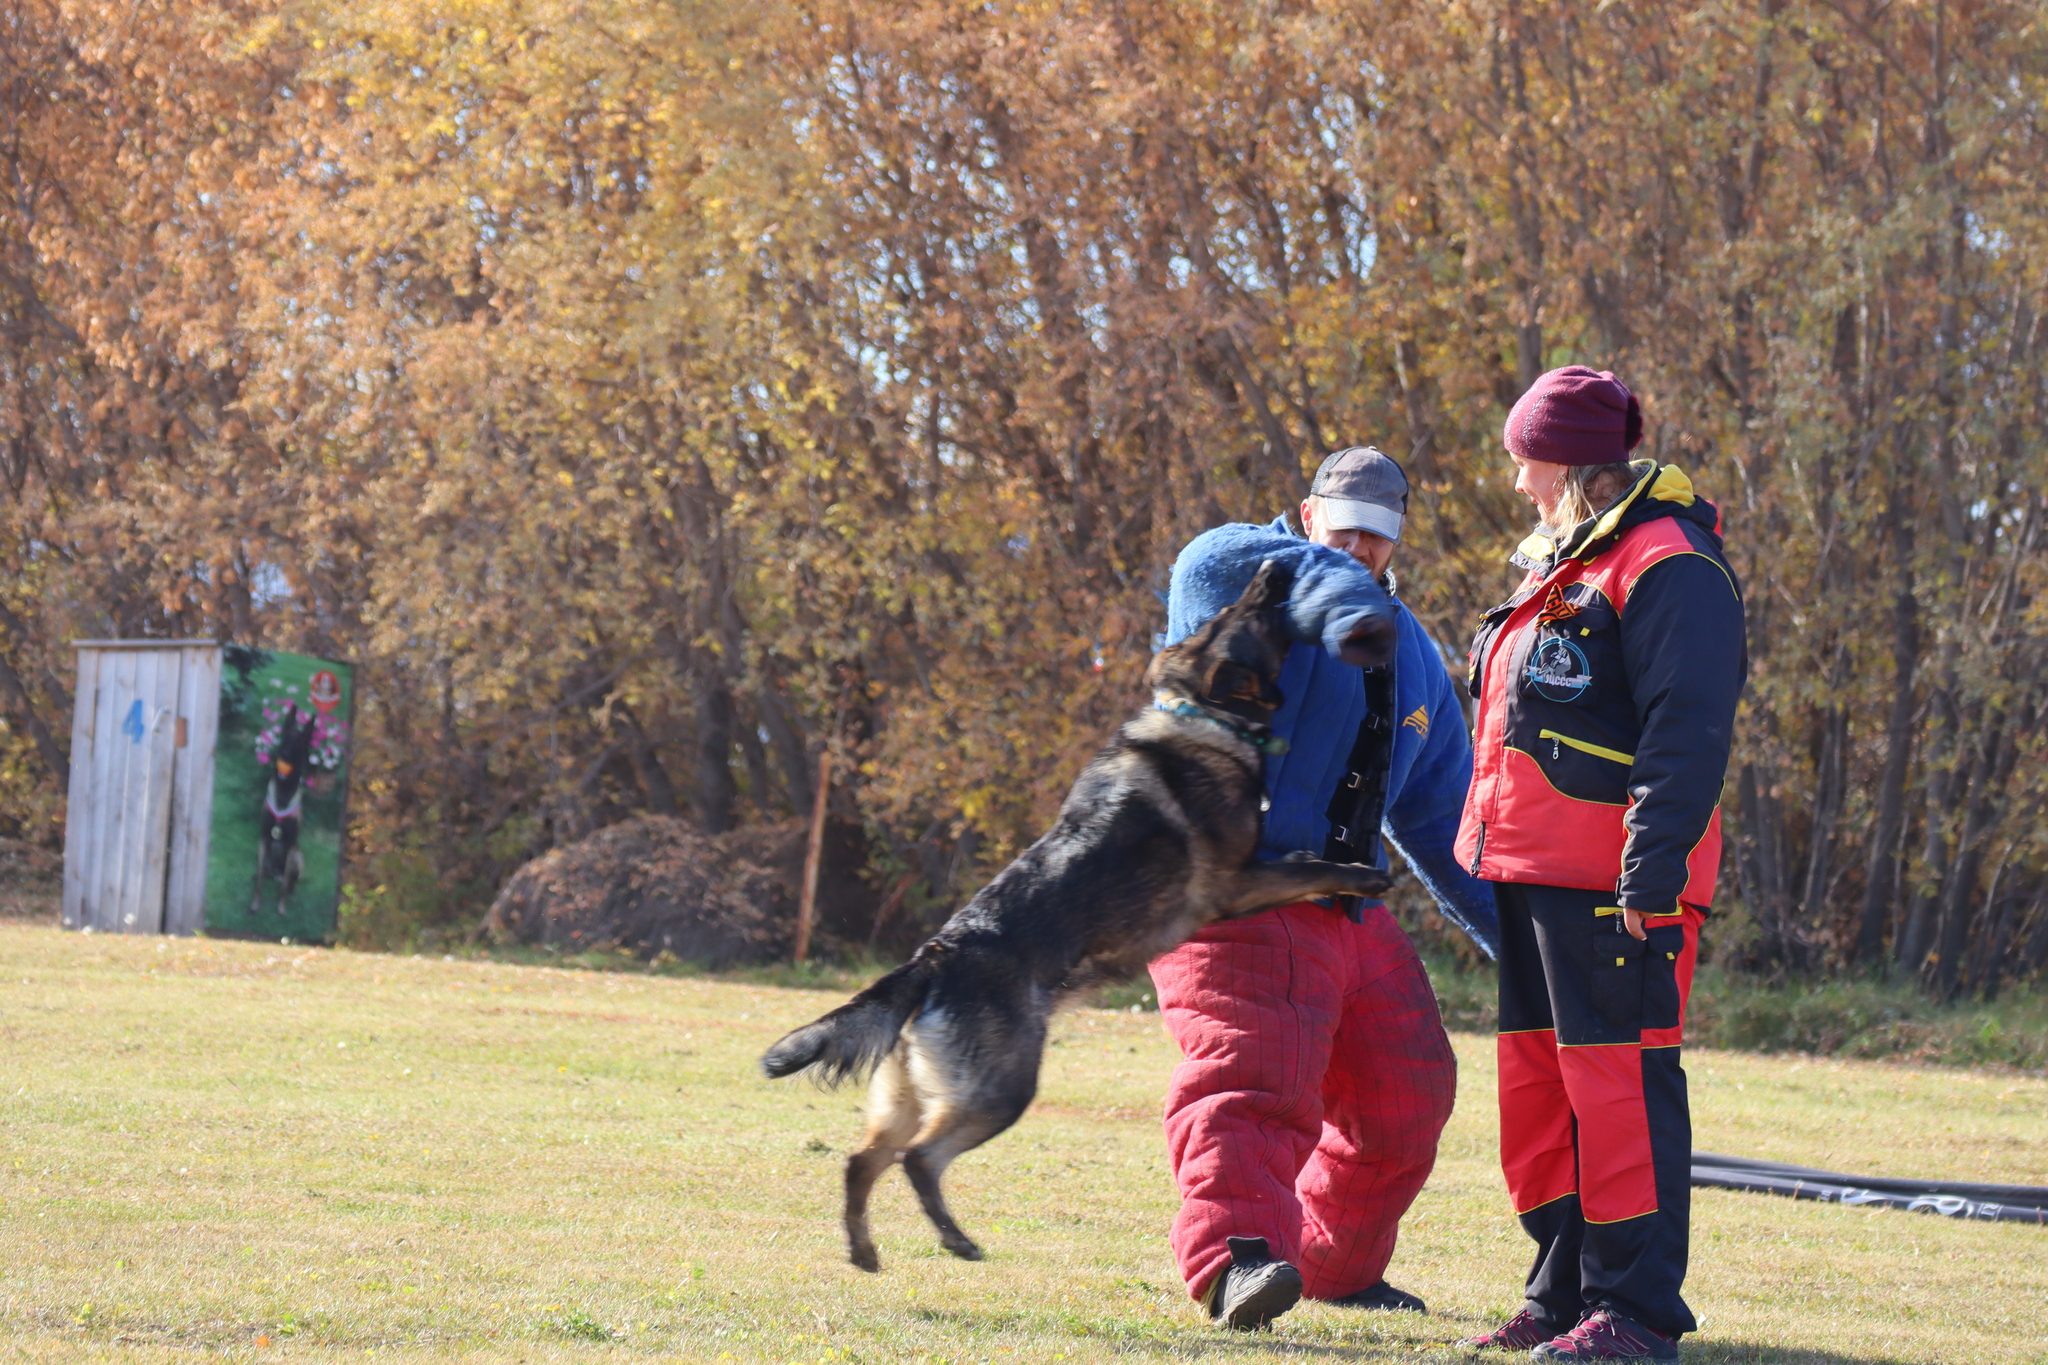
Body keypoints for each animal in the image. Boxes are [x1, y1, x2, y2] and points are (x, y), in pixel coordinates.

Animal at [250, 703, 317, 916]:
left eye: (298, 743)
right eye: (285, 738)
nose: (284, 755)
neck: (283, 793)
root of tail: (275, 873)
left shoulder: (290, 844)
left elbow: (285, 885)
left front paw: (281, 907)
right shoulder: (263, 839)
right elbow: (259, 883)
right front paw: (255, 904)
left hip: (297, 856)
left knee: (289, 880)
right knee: (263, 874)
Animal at [761, 556, 1400, 1268]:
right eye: (1249, 615)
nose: (1271, 565)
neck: (1205, 714)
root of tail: (935, 957)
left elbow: (1303, 862)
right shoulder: (1236, 882)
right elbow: (1309, 867)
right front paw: (1364, 876)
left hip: (908, 1096)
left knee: (862, 1160)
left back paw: (865, 1251)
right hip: (1001, 1090)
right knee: (919, 1160)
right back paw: (957, 1240)